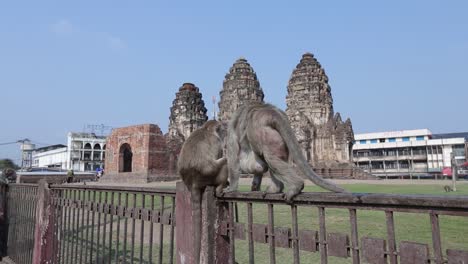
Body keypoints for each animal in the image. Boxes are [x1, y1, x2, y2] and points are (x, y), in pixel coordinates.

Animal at [177, 119, 229, 264]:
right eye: (220, 129)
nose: (224, 130)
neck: (206, 129)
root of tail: (193, 181)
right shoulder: (217, 141)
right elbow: (219, 155)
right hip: (209, 176)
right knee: (224, 162)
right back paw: (220, 186)